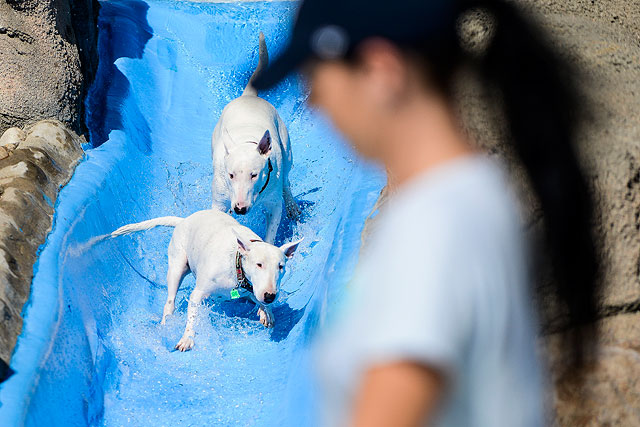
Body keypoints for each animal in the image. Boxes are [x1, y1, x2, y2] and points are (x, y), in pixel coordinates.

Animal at [110, 209, 302, 352]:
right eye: (259, 264)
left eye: (281, 267)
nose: (270, 295)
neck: (236, 266)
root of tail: (184, 220)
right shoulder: (198, 293)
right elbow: (193, 315)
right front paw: (187, 339)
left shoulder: (253, 289)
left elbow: (259, 301)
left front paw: (266, 312)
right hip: (177, 265)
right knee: (170, 301)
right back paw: (166, 323)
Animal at [210, 32, 300, 244]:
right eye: (231, 175)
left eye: (254, 174)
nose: (239, 209)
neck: (245, 142)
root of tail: (249, 96)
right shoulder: (219, 201)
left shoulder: (274, 205)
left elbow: (272, 229)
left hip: (287, 150)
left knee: (286, 180)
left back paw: (292, 205)